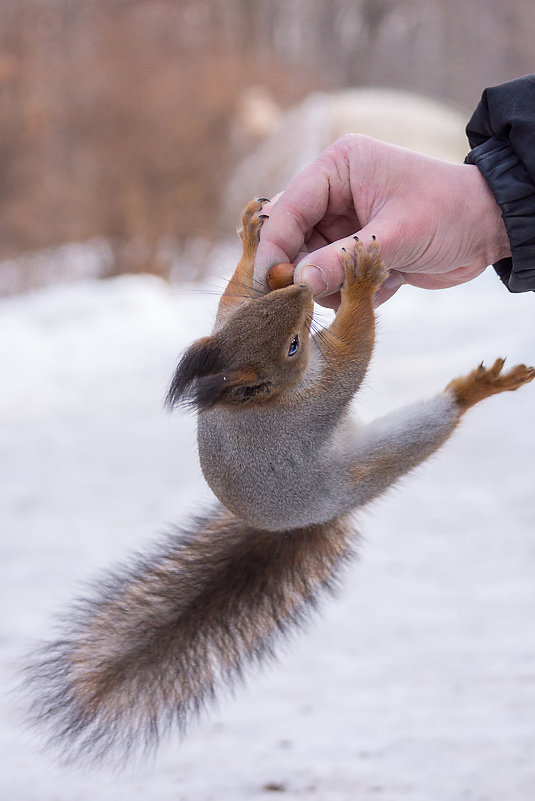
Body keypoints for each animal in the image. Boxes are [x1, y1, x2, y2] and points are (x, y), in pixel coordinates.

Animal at [26, 195, 535, 764]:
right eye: (292, 346)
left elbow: (231, 288)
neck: (262, 398)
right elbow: (355, 351)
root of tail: (291, 524)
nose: (304, 289)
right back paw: (477, 388)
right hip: (377, 459)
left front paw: (256, 242)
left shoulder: (227, 316)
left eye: (262, 312)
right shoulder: (320, 398)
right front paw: (360, 281)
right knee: (429, 425)